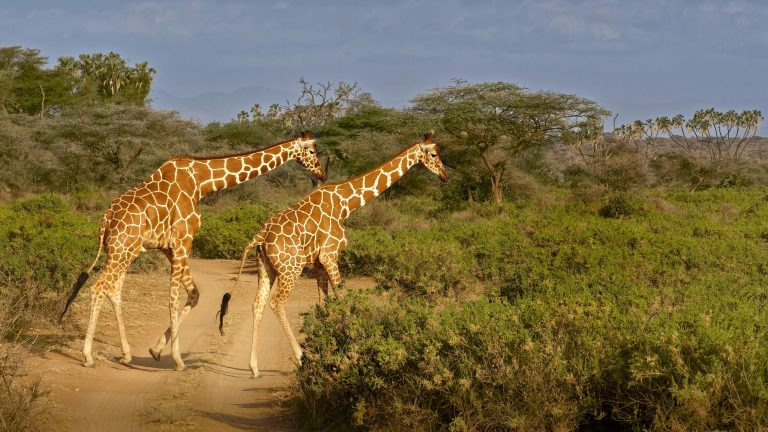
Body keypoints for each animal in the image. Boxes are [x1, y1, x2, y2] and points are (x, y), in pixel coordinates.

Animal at [59, 132, 326, 371]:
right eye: (313, 151)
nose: (322, 175)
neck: (201, 183)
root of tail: (105, 220)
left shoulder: (169, 247)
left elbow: (194, 294)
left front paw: (156, 350)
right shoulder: (182, 241)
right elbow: (173, 297)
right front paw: (177, 360)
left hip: (124, 251)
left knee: (113, 289)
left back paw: (125, 355)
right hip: (122, 250)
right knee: (98, 287)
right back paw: (88, 356)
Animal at [224, 132, 448, 377]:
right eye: (434, 154)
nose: (445, 176)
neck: (345, 204)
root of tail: (260, 236)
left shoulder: (318, 262)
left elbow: (324, 302)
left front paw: (326, 344)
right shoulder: (330, 254)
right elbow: (341, 297)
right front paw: (351, 348)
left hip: (266, 269)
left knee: (258, 304)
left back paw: (254, 367)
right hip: (291, 269)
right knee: (276, 303)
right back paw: (300, 356)